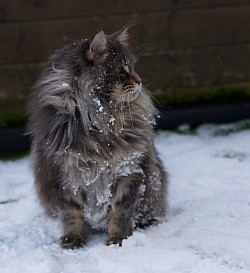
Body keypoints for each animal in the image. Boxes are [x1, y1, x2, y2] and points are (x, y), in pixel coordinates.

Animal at [26, 26, 168, 248]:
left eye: (132, 66)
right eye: (122, 69)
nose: (139, 81)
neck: (100, 121)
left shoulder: (127, 170)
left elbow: (120, 211)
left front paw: (118, 239)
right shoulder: (64, 176)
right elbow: (71, 213)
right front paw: (73, 240)